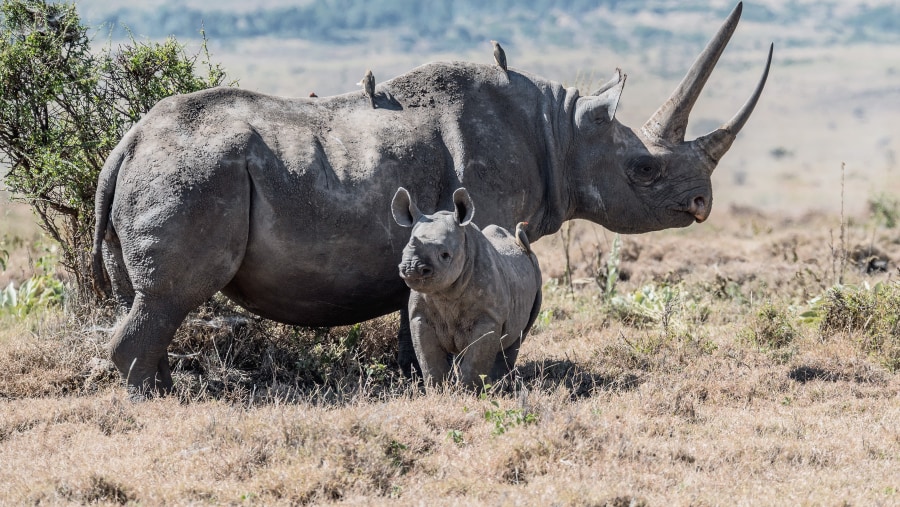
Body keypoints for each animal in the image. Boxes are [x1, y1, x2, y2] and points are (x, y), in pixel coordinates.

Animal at [388, 187, 540, 388]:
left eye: (445, 255)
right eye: (404, 251)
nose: (412, 268)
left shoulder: (489, 317)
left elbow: (475, 360)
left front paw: (469, 391)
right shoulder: (419, 315)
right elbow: (429, 359)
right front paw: (438, 390)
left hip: (536, 275)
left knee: (517, 337)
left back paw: (498, 385)